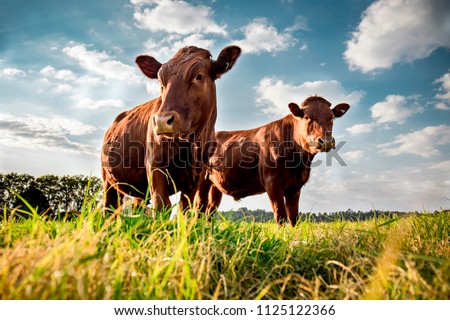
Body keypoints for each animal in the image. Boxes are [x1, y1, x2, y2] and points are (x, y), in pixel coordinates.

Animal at [101, 45, 241, 214]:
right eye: (161, 81)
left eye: (199, 76)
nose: (162, 121)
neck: (192, 145)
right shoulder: (154, 165)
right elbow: (162, 205)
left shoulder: (197, 176)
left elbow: (185, 209)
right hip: (108, 179)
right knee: (109, 207)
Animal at [199, 96, 350, 226]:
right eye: (307, 117)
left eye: (332, 117)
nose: (326, 141)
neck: (298, 164)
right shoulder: (272, 183)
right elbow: (280, 215)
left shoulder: (295, 186)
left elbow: (293, 217)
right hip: (202, 181)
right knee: (199, 208)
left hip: (215, 185)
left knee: (210, 212)